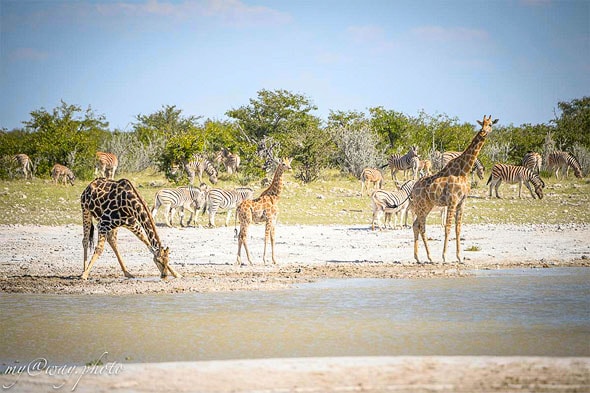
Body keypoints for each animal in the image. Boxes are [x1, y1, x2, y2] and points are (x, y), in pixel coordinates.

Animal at [412, 115, 500, 264]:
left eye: (490, 124)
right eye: (482, 124)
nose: (483, 132)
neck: (464, 171)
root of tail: (413, 188)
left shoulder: (462, 202)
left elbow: (458, 228)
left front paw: (460, 257)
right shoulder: (452, 201)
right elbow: (447, 228)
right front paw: (445, 256)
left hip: (427, 205)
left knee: (415, 224)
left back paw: (418, 257)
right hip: (422, 205)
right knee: (421, 226)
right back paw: (430, 257)